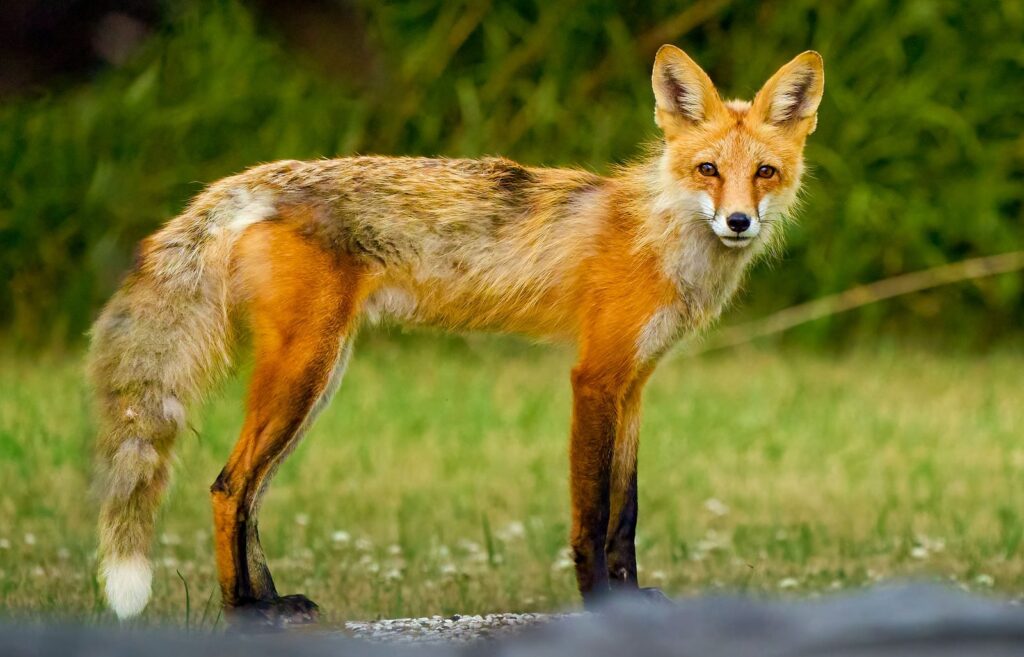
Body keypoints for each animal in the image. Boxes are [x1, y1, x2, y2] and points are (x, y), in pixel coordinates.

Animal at [89, 45, 824, 624]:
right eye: (708, 170)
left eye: (764, 173)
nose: (737, 222)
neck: (660, 236)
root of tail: (264, 180)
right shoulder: (594, 378)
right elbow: (590, 518)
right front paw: (597, 606)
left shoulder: (635, 382)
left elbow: (626, 515)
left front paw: (631, 600)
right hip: (303, 372)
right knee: (228, 486)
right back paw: (243, 610)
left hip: (319, 378)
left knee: (249, 492)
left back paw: (269, 600)